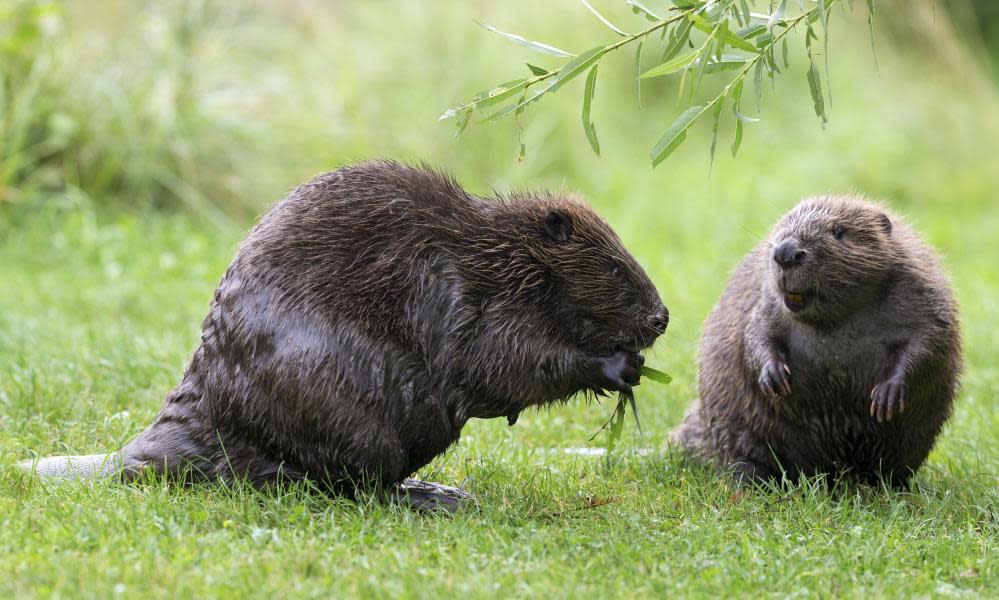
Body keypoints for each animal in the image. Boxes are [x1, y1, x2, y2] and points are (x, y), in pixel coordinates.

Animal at [21, 161, 664, 510]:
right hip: (339, 406)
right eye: (615, 268)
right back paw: (435, 498)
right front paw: (617, 366)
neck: (498, 255)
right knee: (340, 484)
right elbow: (494, 361)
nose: (661, 319)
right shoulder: (462, 292)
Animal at [676, 197, 964, 488]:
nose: (786, 253)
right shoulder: (765, 298)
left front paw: (887, 396)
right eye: (782, 223)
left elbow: (929, 339)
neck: (832, 319)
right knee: (743, 458)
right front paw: (774, 377)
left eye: (838, 231)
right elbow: (756, 333)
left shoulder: (918, 287)